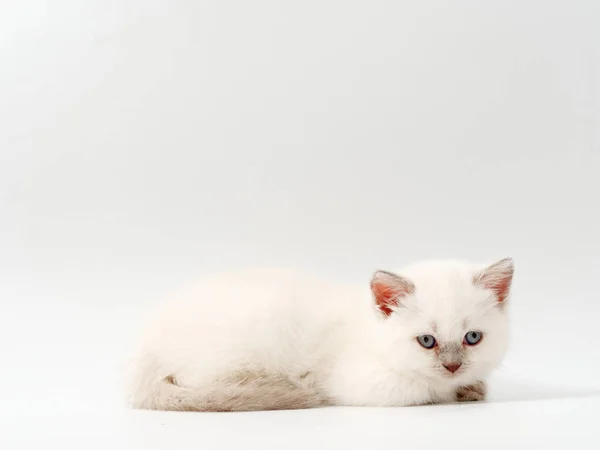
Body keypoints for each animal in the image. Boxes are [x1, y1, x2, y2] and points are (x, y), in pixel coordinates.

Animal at [129, 258, 512, 410]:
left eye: (472, 338)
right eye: (427, 341)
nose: (453, 367)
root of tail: (145, 348)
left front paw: (471, 386)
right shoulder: (362, 382)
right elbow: (427, 391)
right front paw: (455, 390)